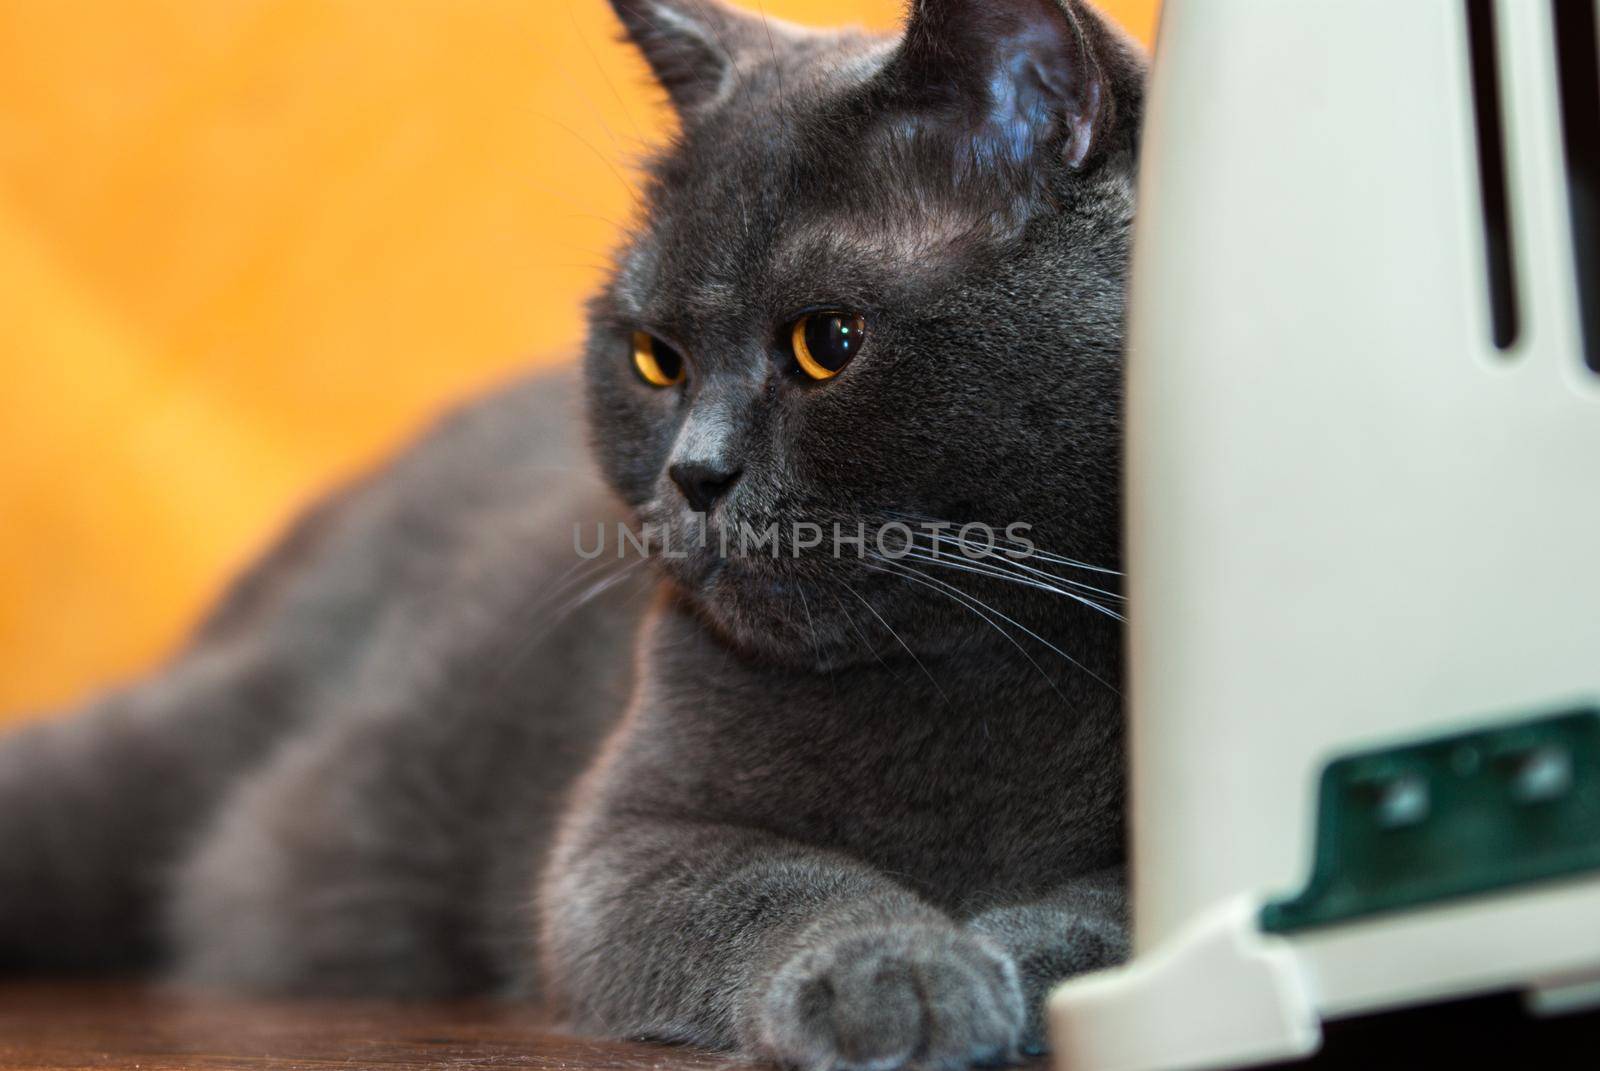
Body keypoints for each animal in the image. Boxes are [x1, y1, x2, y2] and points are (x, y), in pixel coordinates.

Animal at [3, 4, 1152, 1062]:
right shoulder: (620, 840)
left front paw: (1003, 969)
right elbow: (778, 883)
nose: (695, 472)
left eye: (827, 341)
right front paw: (896, 975)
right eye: (655, 358)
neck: (964, 665)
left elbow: (1107, 915)